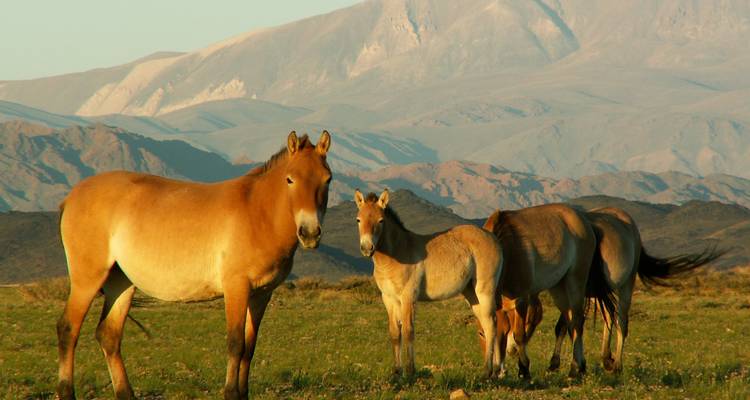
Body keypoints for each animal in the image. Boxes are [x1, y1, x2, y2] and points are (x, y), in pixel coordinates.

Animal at [55, 131, 332, 400]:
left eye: (327, 179)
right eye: (290, 179)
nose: (309, 233)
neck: (258, 212)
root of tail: (71, 197)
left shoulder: (261, 295)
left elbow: (249, 348)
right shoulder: (237, 288)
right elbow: (236, 344)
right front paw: (231, 393)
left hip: (121, 282)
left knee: (109, 335)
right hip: (87, 280)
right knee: (68, 329)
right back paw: (66, 391)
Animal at [354, 189, 504, 378]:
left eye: (381, 220)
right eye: (358, 219)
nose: (367, 248)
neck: (397, 253)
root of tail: (492, 237)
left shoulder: (408, 297)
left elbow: (408, 331)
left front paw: (410, 371)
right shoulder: (388, 298)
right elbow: (395, 333)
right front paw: (396, 372)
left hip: (485, 290)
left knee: (492, 324)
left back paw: (488, 371)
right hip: (472, 294)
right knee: (488, 323)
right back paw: (496, 370)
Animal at [482, 204, 615, 378]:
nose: (499, 372)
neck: (507, 250)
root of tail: (585, 223)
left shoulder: (522, 299)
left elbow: (519, 335)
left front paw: (524, 369)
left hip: (575, 281)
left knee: (577, 322)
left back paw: (575, 368)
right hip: (559, 289)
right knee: (570, 324)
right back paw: (579, 366)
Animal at [549, 206, 724, 373]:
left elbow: (570, 325)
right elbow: (564, 326)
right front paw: (555, 363)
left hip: (624, 286)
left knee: (621, 322)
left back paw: (617, 365)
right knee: (609, 316)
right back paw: (607, 359)